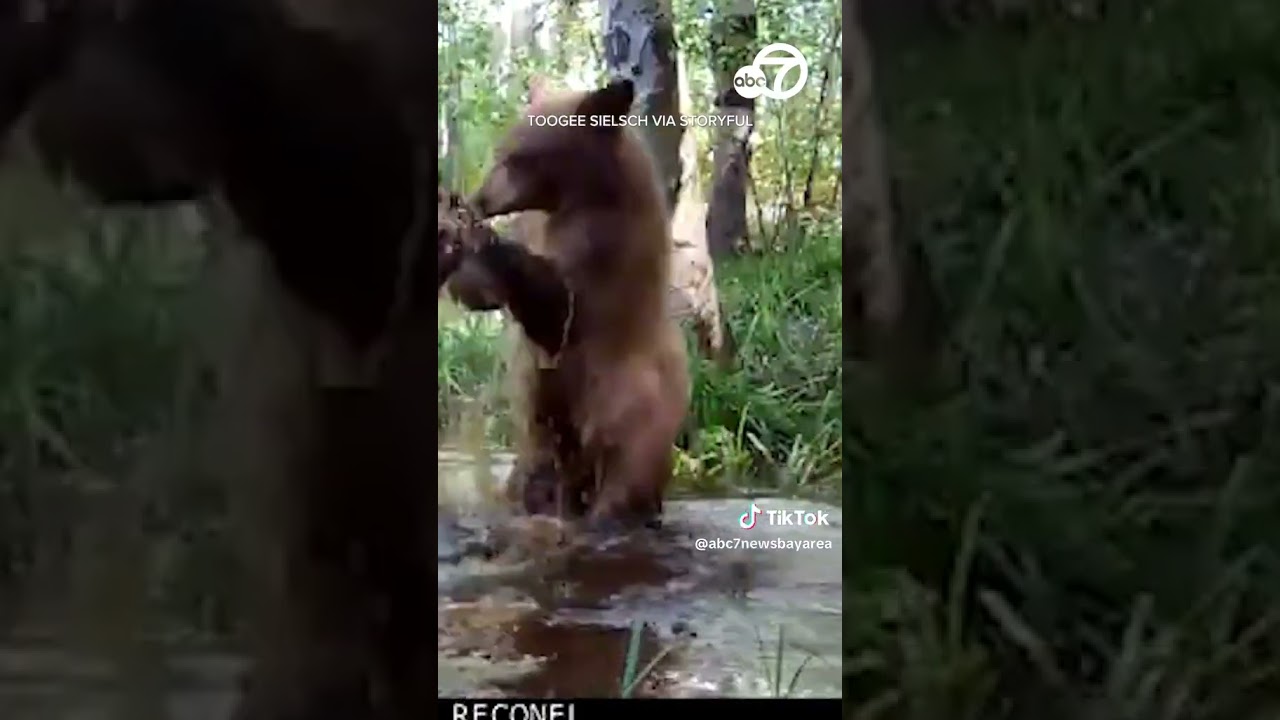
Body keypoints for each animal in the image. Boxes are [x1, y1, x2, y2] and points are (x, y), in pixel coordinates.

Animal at [465, 79, 696, 527]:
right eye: (501, 151)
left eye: (519, 158)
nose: (479, 200)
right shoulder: (543, 225)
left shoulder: (605, 255)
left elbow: (559, 309)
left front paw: (488, 245)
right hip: (538, 449)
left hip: (632, 416)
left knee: (623, 476)